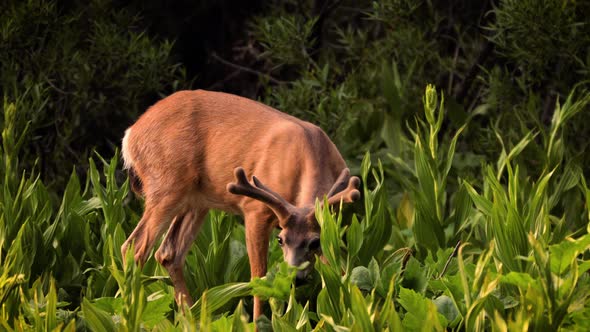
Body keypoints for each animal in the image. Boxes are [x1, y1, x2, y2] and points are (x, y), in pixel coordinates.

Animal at [120, 89, 360, 320]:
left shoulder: (328, 221)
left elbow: (337, 271)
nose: (294, 277)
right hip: (165, 186)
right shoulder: (255, 210)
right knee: (133, 247)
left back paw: (192, 319)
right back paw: (132, 314)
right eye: (280, 240)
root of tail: (130, 134)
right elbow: (258, 276)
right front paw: (257, 323)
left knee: (168, 253)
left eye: (314, 242)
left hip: (197, 200)